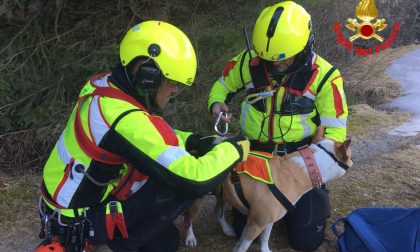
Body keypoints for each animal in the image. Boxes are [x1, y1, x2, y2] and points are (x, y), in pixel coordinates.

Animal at [184, 128, 352, 252]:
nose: (351, 161)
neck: (298, 170)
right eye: (349, 156)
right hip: (197, 197)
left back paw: (226, 229)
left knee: (217, 210)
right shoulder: (255, 224)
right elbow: (243, 247)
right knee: (188, 218)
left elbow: (264, 239)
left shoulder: (266, 220)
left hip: (223, 193)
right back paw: (190, 238)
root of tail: (203, 141)